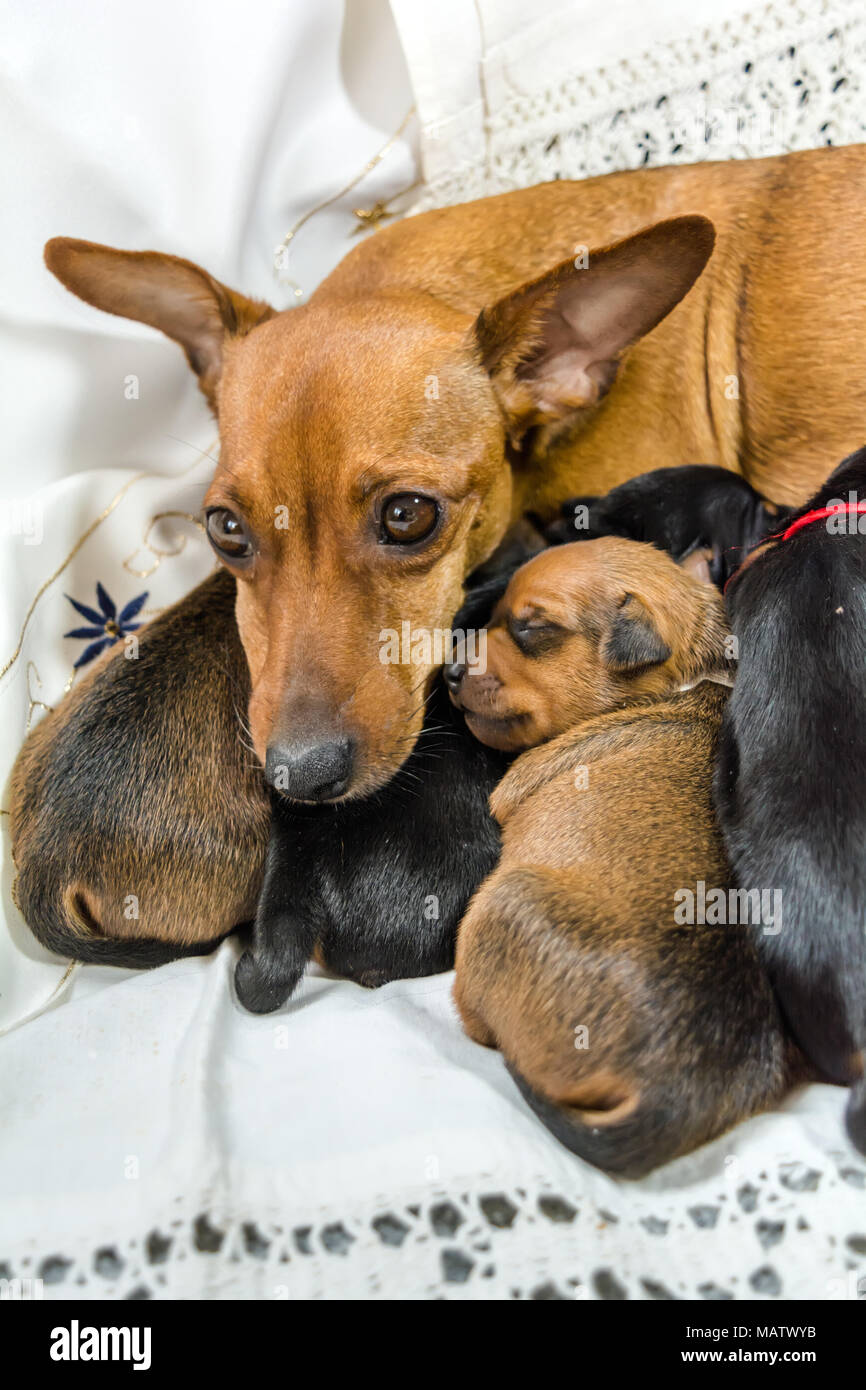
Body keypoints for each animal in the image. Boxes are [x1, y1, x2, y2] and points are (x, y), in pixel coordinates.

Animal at [450, 539, 811, 1173]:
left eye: (529, 627)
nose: (446, 671)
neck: (685, 682)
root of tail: (672, 1095)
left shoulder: (515, 783)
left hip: (498, 908)